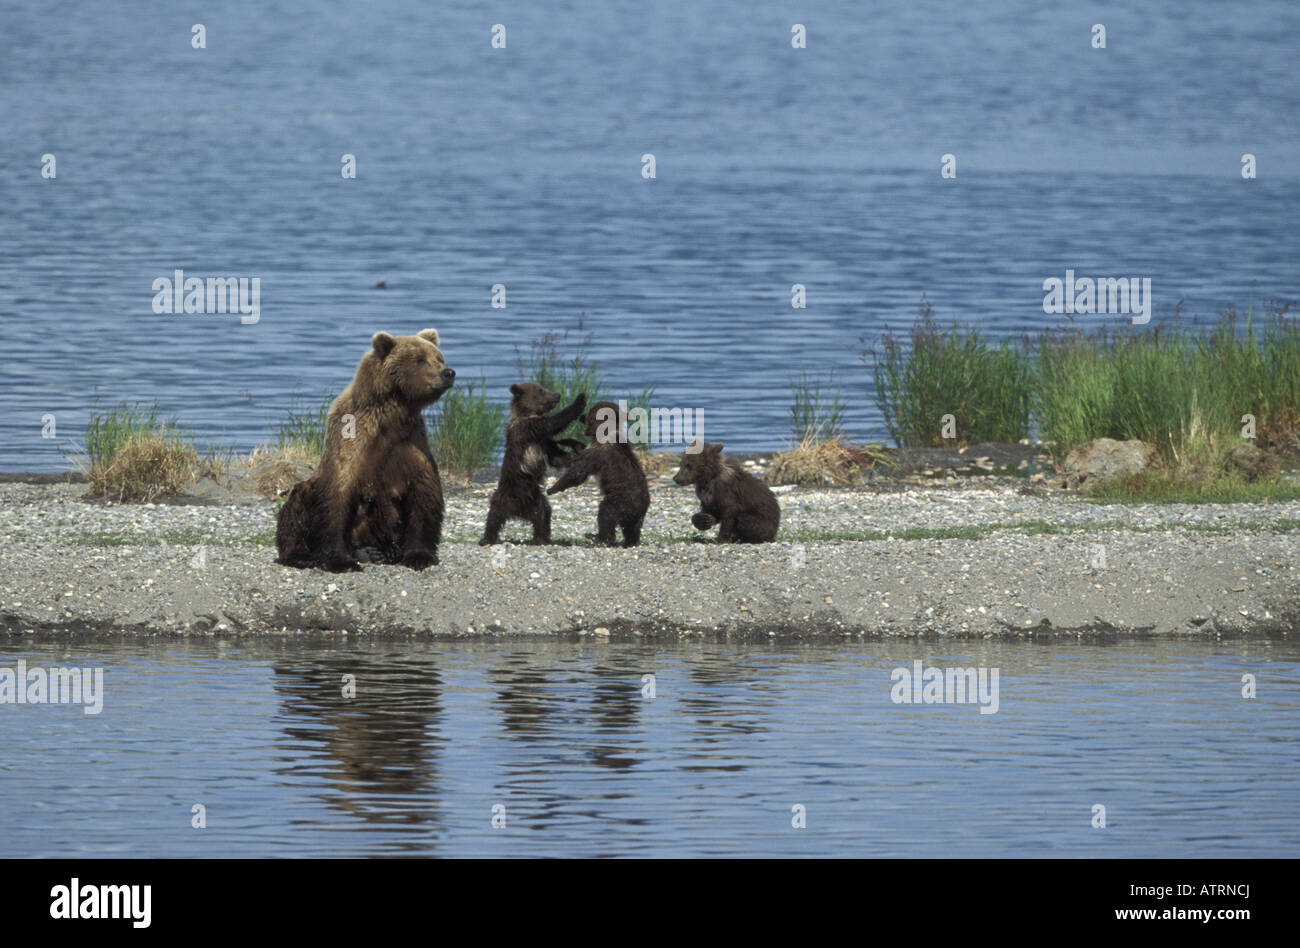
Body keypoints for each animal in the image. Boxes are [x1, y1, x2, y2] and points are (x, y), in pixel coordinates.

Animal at [276, 328, 454, 571]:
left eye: (439, 357)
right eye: (420, 360)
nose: (448, 373)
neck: (394, 416)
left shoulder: (412, 445)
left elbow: (424, 495)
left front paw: (419, 556)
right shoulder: (353, 443)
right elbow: (338, 498)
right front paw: (341, 561)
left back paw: (381, 551)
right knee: (296, 505)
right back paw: (303, 555)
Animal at [479, 382, 586, 546]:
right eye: (541, 391)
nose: (557, 395)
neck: (527, 414)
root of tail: (518, 511)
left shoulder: (544, 442)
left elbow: (557, 457)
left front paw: (576, 453)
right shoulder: (528, 429)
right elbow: (554, 422)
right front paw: (580, 399)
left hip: (535, 500)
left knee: (543, 514)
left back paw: (542, 538)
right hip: (507, 494)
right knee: (494, 515)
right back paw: (486, 538)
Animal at [546, 400, 651, 547]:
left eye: (590, 413)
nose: (581, 416)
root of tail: (642, 505)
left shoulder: (599, 453)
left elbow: (578, 473)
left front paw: (552, 488)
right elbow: (580, 453)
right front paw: (567, 440)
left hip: (621, 500)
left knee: (606, 513)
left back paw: (598, 537)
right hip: (635, 514)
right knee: (632, 528)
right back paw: (631, 541)